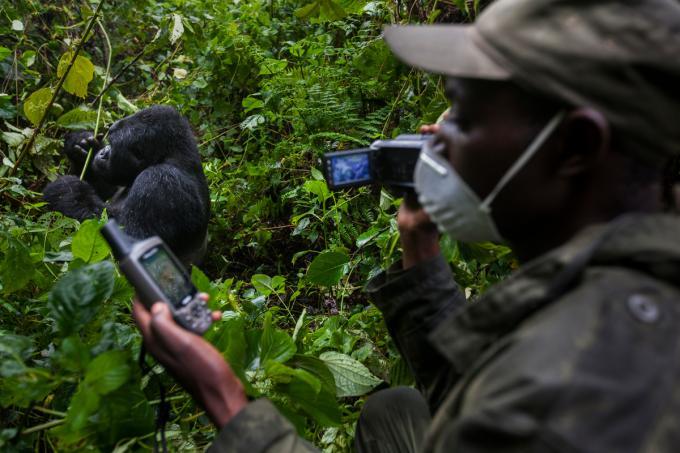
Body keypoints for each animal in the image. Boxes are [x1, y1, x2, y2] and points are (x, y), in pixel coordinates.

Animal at [43, 105, 209, 264]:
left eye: (113, 144)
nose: (103, 151)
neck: (170, 155)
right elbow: (106, 188)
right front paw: (81, 145)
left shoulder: (160, 181)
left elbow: (132, 242)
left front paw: (68, 192)